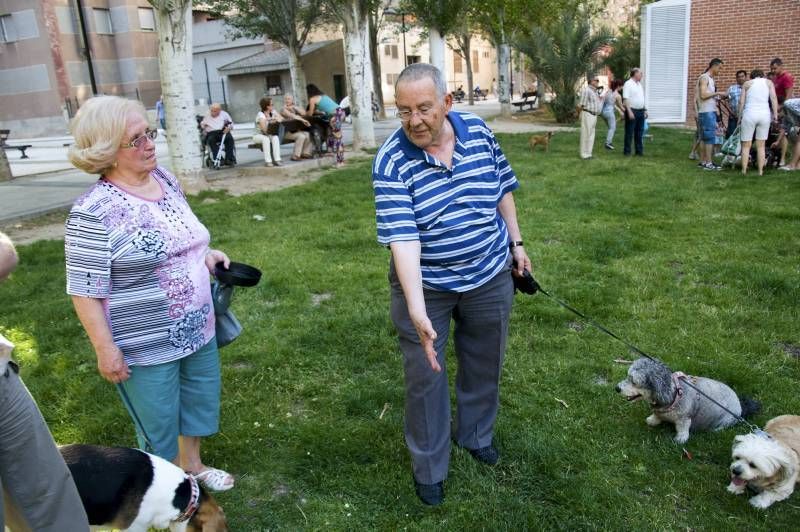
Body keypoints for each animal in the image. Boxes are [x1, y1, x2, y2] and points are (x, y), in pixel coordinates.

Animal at [616, 358, 760, 444]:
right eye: (627, 376)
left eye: (634, 381)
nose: (617, 388)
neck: (674, 395)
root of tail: (741, 407)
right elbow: (657, 416)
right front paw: (653, 420)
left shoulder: (684, 419)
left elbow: (682, 429)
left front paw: (680, 439)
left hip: (727, 420)